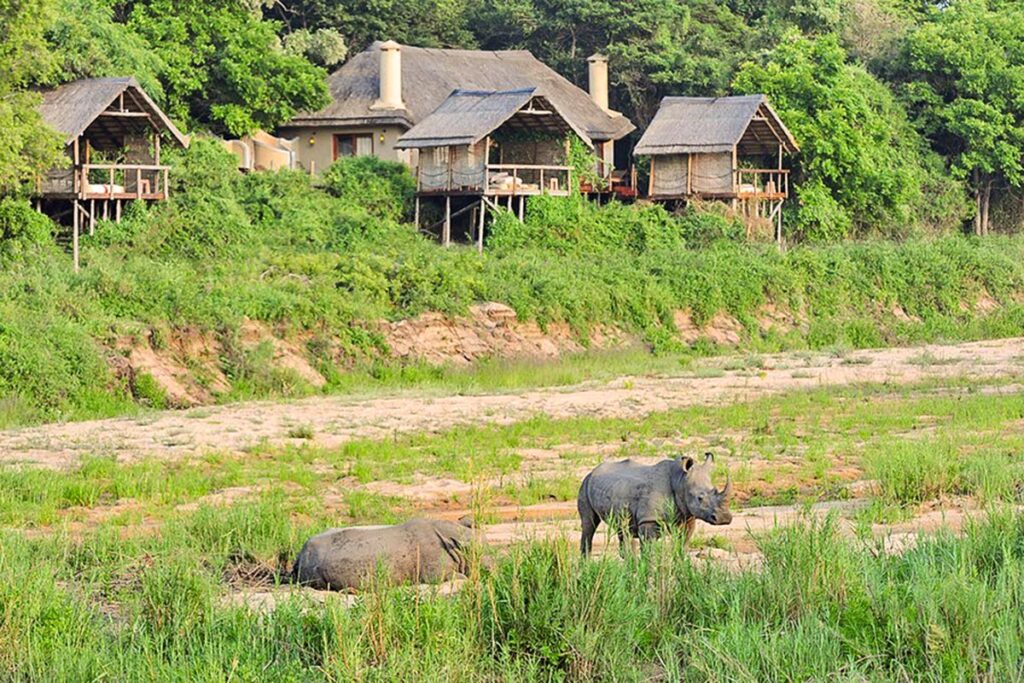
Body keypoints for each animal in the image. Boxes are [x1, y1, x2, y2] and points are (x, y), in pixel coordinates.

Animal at [581, 454, 733, 557]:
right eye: (700, 498)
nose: (724, 518)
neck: (680, 481)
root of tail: (593, 471)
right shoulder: (649, 519)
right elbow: (649, 552)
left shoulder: (687, 516)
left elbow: (682, 546)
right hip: (585, 482)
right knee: (589, 525)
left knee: (624, 529)